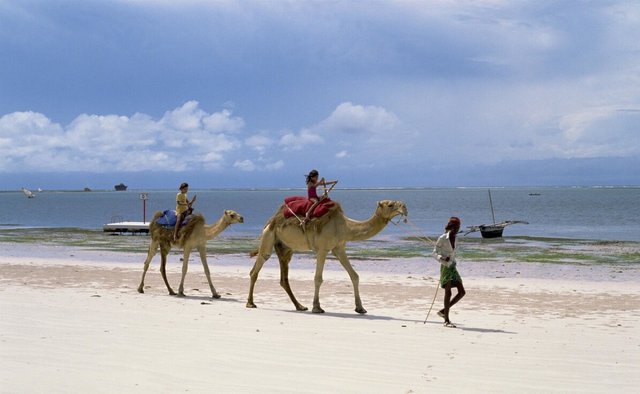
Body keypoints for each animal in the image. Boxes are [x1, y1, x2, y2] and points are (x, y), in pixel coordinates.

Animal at [248, 200, 408, 314]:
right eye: (390, 204)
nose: (405, 207)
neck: (345, 227)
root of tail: (271, 220)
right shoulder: (322, 249)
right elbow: (318, 278)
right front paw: (317, 307)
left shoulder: (339, 248)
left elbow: (354, 276)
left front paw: (360, 308)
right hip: (268, 237)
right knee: (256, 269)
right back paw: (250, 303)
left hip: (285, 247)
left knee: (284, 278)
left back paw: (300, 306)